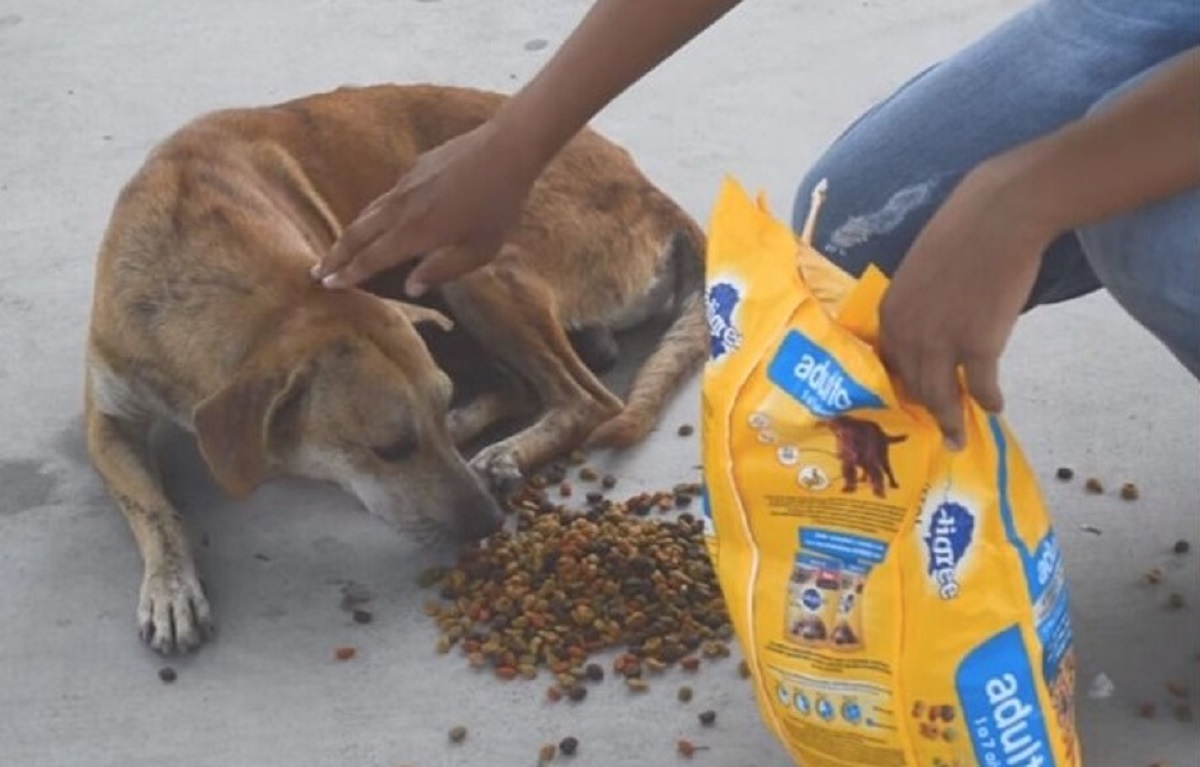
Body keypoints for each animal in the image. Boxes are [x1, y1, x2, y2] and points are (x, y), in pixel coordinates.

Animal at [88, 84, 705, 652]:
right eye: (389, 450)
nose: (490, 523)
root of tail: (656, 196)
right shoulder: (107, 419)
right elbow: (153, 509)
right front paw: (170, 588)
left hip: (479, 263)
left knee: (586, 398)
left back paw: (501, 448)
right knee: (529, 382)